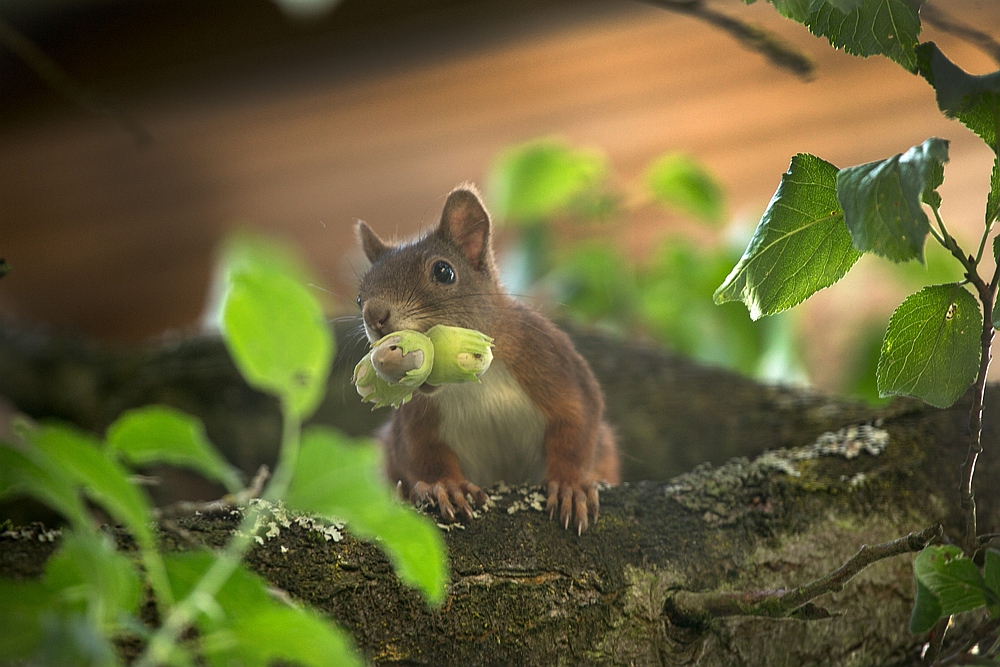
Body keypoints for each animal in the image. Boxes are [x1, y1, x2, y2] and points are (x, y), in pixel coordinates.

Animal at [352, 185, 616, 536]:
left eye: (444, 271)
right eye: (359, 297)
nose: (374, 315)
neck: (474, 382)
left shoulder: (553, 362)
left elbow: (577, 424)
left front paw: (571, 485)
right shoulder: (416, 418)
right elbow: (419, 454)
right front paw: (445, 486)